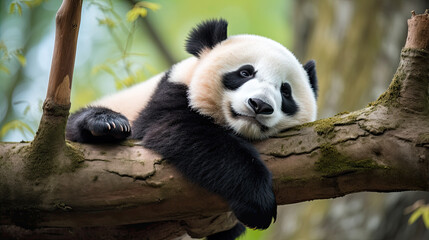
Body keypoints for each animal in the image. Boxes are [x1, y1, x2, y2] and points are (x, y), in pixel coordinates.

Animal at [65, 19, 316, 239]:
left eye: (285, 91)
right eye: (245, 72)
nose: (260, 104)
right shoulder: (170, 94)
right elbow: (185, 133)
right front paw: (257, 202)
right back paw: (108, 125)